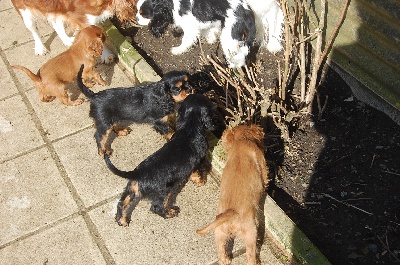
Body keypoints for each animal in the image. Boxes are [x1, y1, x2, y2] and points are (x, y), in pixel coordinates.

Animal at [10, 0, 138, 60]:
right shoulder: (82, 19)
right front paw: (105, 55)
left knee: (56, 23)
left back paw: (68, 40)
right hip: (24, 10)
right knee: (33, 28)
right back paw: (40, 48)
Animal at [104, 93, 214, 225]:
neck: (189, 127)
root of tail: (138, 173)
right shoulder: (196, 161)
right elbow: (196, 172)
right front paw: (200, 181)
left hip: (132, 188)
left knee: (122, 202)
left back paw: (122, 220)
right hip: (163, 191)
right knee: (156, 207)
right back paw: (170, 212)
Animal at [196, 124, 268, 264]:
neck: (241, 140)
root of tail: (230, 213)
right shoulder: (261, 161)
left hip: (219, 232)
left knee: (221, 251)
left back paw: (226, 259)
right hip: (251, 233)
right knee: (250, 255)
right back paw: (256, 261)